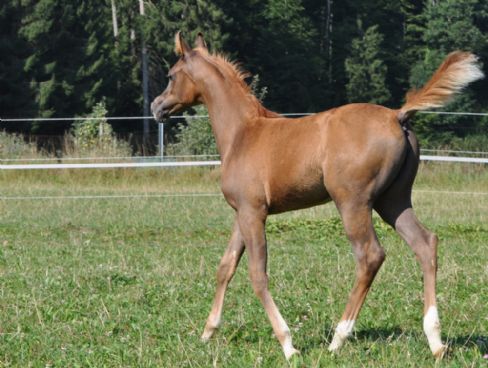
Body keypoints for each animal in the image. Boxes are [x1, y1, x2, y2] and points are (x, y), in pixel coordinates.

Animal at [152, 32, 484, 360]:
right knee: (425, 244)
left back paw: (338, 338)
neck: (242, 133)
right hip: (394, 201)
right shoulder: (242, 213)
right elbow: (226, 267)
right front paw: (208, 332)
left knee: (370, 256)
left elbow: (257, 274)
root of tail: (397, 115)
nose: (157, 106)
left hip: (353, 203)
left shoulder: (253, 212)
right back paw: (436, 341)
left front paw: (288, 344)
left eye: (171, 75)